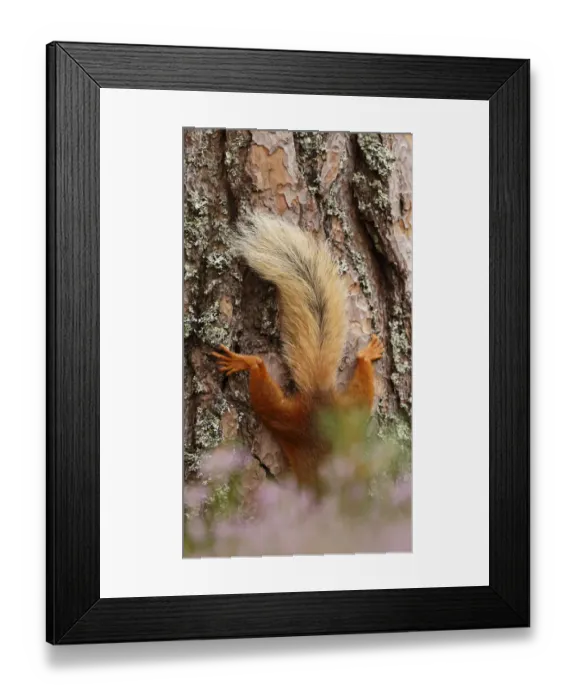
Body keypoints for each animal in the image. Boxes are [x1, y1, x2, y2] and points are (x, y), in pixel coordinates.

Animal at [211, 214, 384, 492]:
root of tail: (319, 395)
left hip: (340, 412)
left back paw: (367, 353)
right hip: (299, 418)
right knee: (259, 369)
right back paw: (242, 361)